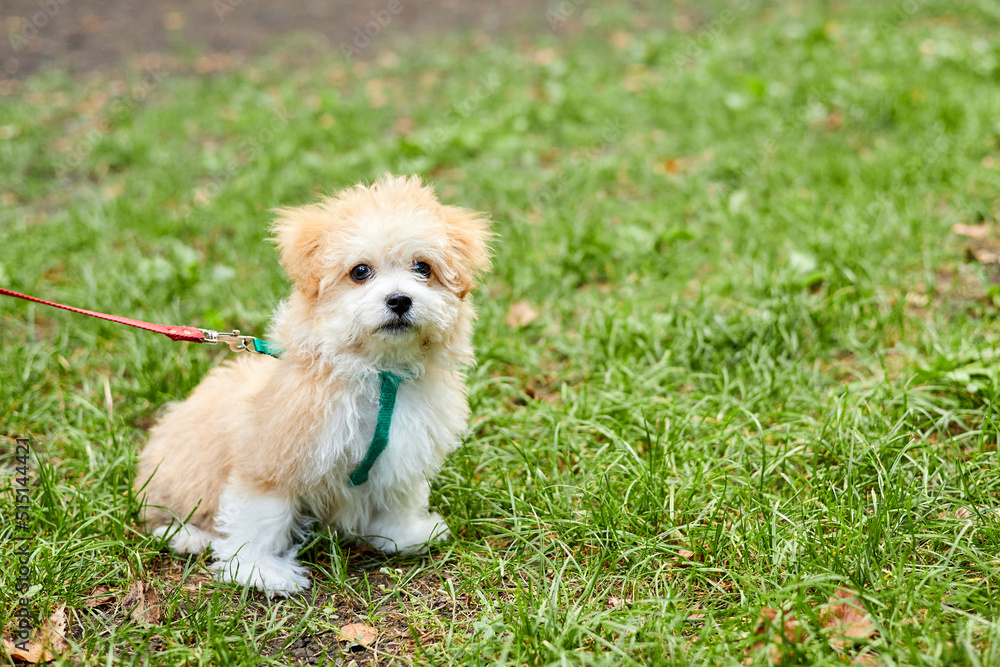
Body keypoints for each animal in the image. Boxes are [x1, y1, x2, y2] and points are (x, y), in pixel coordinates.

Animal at [133, 175, 492, 596]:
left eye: (423, 267)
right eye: (360, 271)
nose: (400, 300)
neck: (378, 373)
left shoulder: (402, 447)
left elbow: (396, 496)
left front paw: (404, 534)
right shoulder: (274, 454)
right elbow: (263, 517)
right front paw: (258, 570)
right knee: (163, 515)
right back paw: (189, 535)